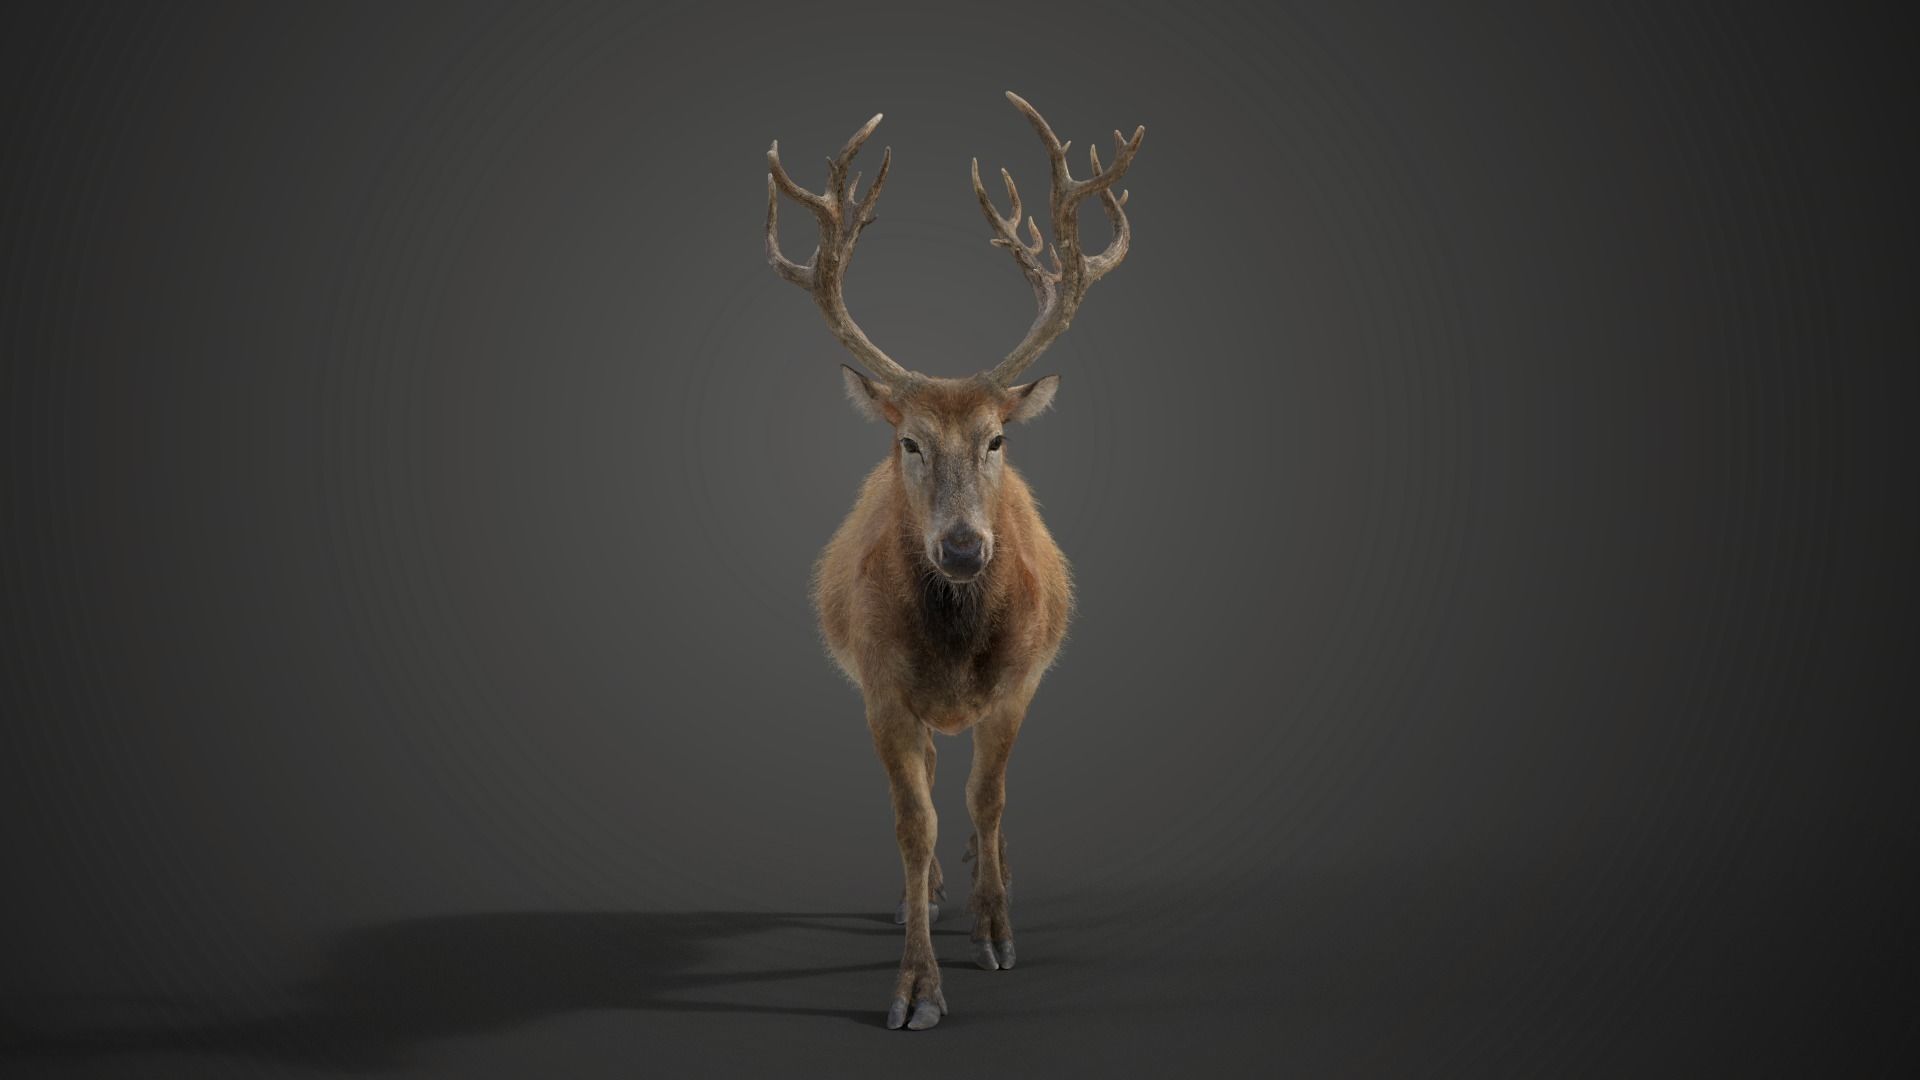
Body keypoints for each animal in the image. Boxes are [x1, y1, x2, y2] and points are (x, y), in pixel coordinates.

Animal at [763, 91, 1145, 1031]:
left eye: (997, 437)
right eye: (908, 440)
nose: (965, 547)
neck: (956, 647)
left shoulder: (1019, 681)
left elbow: (989, 798)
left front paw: (997, 933)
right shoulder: (879, 685)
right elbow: (915, 821)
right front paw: (915, 988)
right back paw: (932, 892)